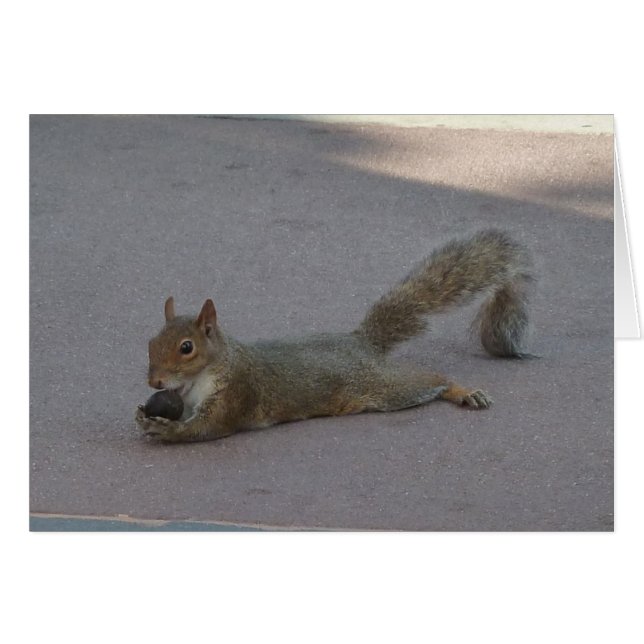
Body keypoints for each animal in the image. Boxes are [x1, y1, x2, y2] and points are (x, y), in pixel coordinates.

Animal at [135, 229, 534, 442]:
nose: (155, 382)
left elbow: (208, 427)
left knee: (431, 379)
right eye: (150, 343)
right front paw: (145, 411)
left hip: (386, 388)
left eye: (187, 347)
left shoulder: (236, 393)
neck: (202, 377)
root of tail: (361, 341)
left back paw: (463, 391)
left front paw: (165, 431)